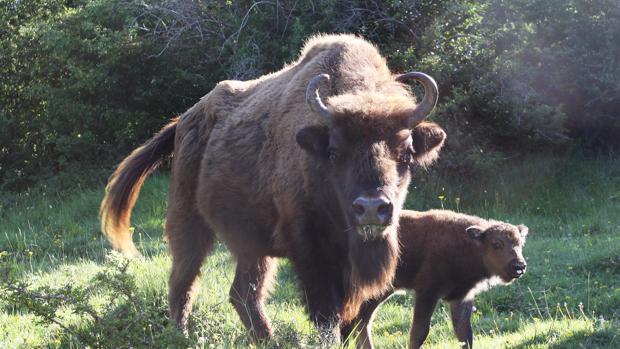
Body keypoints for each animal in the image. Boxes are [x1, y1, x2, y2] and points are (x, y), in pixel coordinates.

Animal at [98, 34, 446, 340]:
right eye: (334, 151)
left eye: (406, 152)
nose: (371, 208)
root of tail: (185, 120)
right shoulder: (310, 251)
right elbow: (327, 313)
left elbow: (350, 314)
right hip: (189, 223)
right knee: (184, 280)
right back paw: (182, 335)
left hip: (251, 244)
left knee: (242, 293)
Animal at [344, 208, 528, 346]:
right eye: (496, 244)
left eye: (520, 244)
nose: (519, 266)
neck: (470, 246)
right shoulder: (427, 293)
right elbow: (419, 333)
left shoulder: (461, 297)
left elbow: (465, 334)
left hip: (381, 291)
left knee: (361, 320)